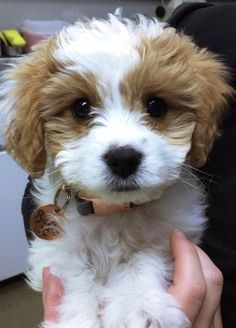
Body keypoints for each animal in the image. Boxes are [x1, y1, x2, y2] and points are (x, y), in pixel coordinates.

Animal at [0, 15, 232, 328]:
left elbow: (143, 258)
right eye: (81, 107)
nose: (123, 159)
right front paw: (80, 319)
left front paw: (136, 305)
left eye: (156, 106)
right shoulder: (57, 247)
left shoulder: (169, 233)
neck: (114, 212)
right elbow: (77, 274)